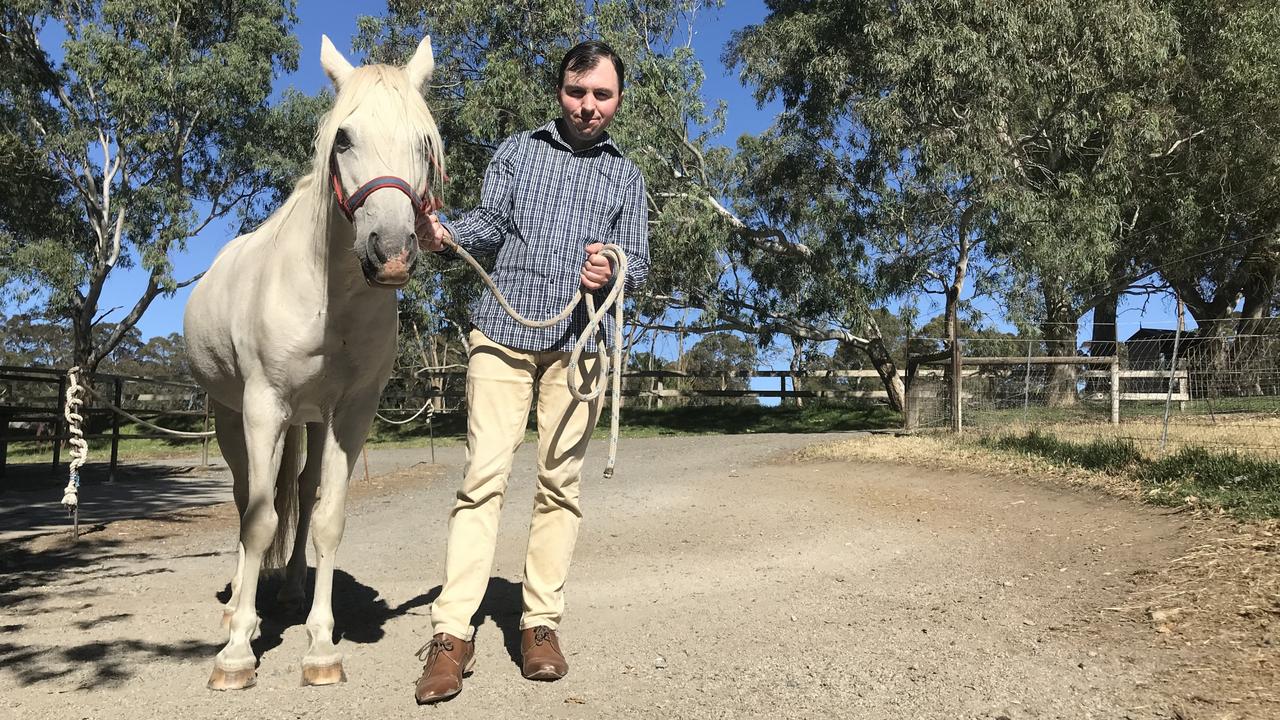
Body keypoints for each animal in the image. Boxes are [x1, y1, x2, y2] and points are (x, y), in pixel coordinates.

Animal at [183, 36, 445, 686]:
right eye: (343, 138)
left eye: (423, 143)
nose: (392, 253)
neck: (332, 299)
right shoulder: (262, 407)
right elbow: (257, 519)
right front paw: (236, 653)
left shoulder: (351, 413)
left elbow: (326, 518)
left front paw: (322, 646)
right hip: (234, 416)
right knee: (245, 498)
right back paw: (241, 609)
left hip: (311, 419)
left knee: (299, 493)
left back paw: (290, 592)